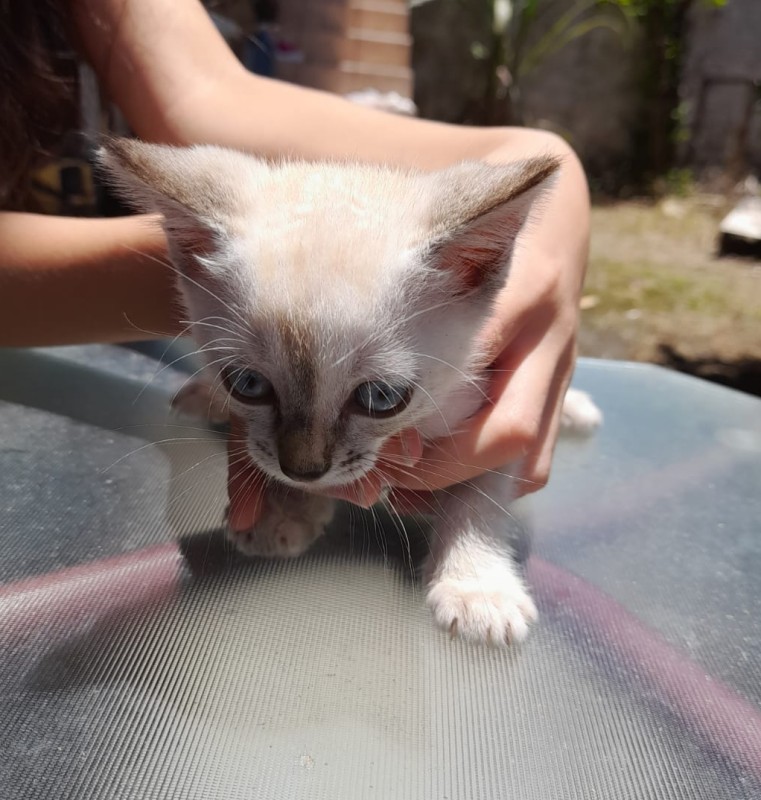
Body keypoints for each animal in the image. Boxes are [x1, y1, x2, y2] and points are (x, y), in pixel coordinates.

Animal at [99, 141, 600, 648]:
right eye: (248, 385)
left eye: (380, 398)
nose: (303, 469)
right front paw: (284, 509)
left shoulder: (489, 407)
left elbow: (480, 496)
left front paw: (477, 589)